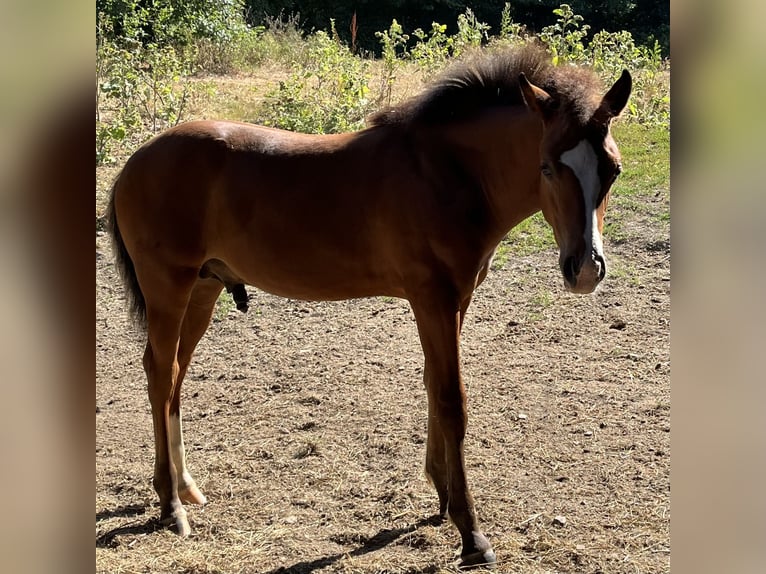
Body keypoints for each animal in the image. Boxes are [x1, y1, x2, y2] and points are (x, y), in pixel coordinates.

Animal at [107, 45, 631, 568]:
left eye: (613, 170)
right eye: (547, 167)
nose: (586, 269)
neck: (445, 173)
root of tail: (134, 163)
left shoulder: (455, 300)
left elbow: (432, 385)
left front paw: (441, 495)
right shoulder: (433, 299)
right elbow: (451, 400)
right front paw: (471, 533)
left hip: (203, 288)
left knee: (175, 377)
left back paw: (186, 487)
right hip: (168, 287)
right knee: (160, 375)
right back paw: (170, 505)